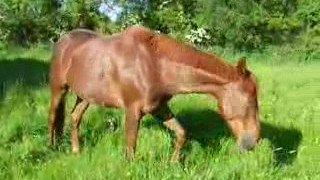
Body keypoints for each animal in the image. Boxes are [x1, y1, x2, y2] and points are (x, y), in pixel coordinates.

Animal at [48, 25, 262, 162]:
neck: (154, 64)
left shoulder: (159, 107)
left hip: (85, 96)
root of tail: (63, 40)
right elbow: (130, 151)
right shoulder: (133, 112)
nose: (252, 142)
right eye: (250, 101)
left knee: (75, 117)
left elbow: (182, 133)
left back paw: (76, 150)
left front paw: (173, 163)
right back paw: (51, 148)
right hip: (58, 90)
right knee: (52, 118)